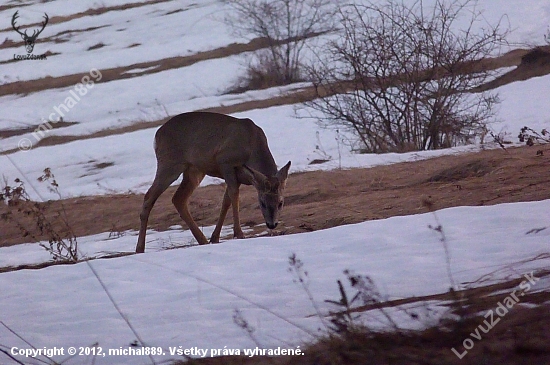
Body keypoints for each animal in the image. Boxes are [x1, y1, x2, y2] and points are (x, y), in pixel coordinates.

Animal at [136, 111, 294, 253]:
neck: (252, 147)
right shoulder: (225, 162)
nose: (272, 224)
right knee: (149, 196)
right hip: (169, 163)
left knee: (178, 198)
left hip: (194, 170)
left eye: (281, 202)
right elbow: (234, 195)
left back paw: (203, 240)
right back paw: (139, 248)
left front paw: (215, 238)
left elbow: (226, 200)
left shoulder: (237, 177)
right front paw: (239, 234)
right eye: (262, 203)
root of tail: (157, 135)